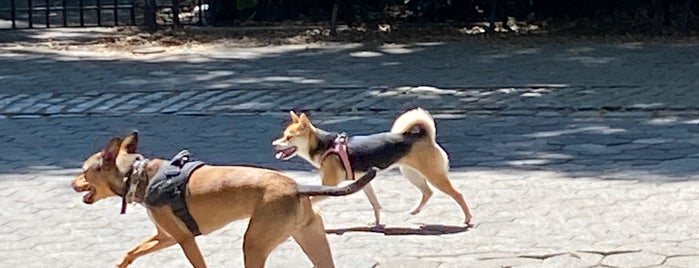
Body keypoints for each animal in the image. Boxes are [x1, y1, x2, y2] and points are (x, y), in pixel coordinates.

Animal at [71, 132, 378, 268]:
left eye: (84, 171)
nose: (71, 183)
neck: (137, 174)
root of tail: (297, 187)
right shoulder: (165, 236)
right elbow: (131, 252)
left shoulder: (185, 240)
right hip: (311, 238)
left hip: (254, 244)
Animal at [270, 108, 474, 225]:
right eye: (284, 135)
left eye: (288, 138)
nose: (274, 144)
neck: (324, 145)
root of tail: (424, 136)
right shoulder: (363, 181)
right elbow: (375, 204)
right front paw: (376, 222)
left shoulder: (330, 186)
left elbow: (311, 200)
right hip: (410, 173)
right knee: (427, 192)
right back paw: (415, 210)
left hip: (433, 175)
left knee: (458, 194)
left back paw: (467, 219)